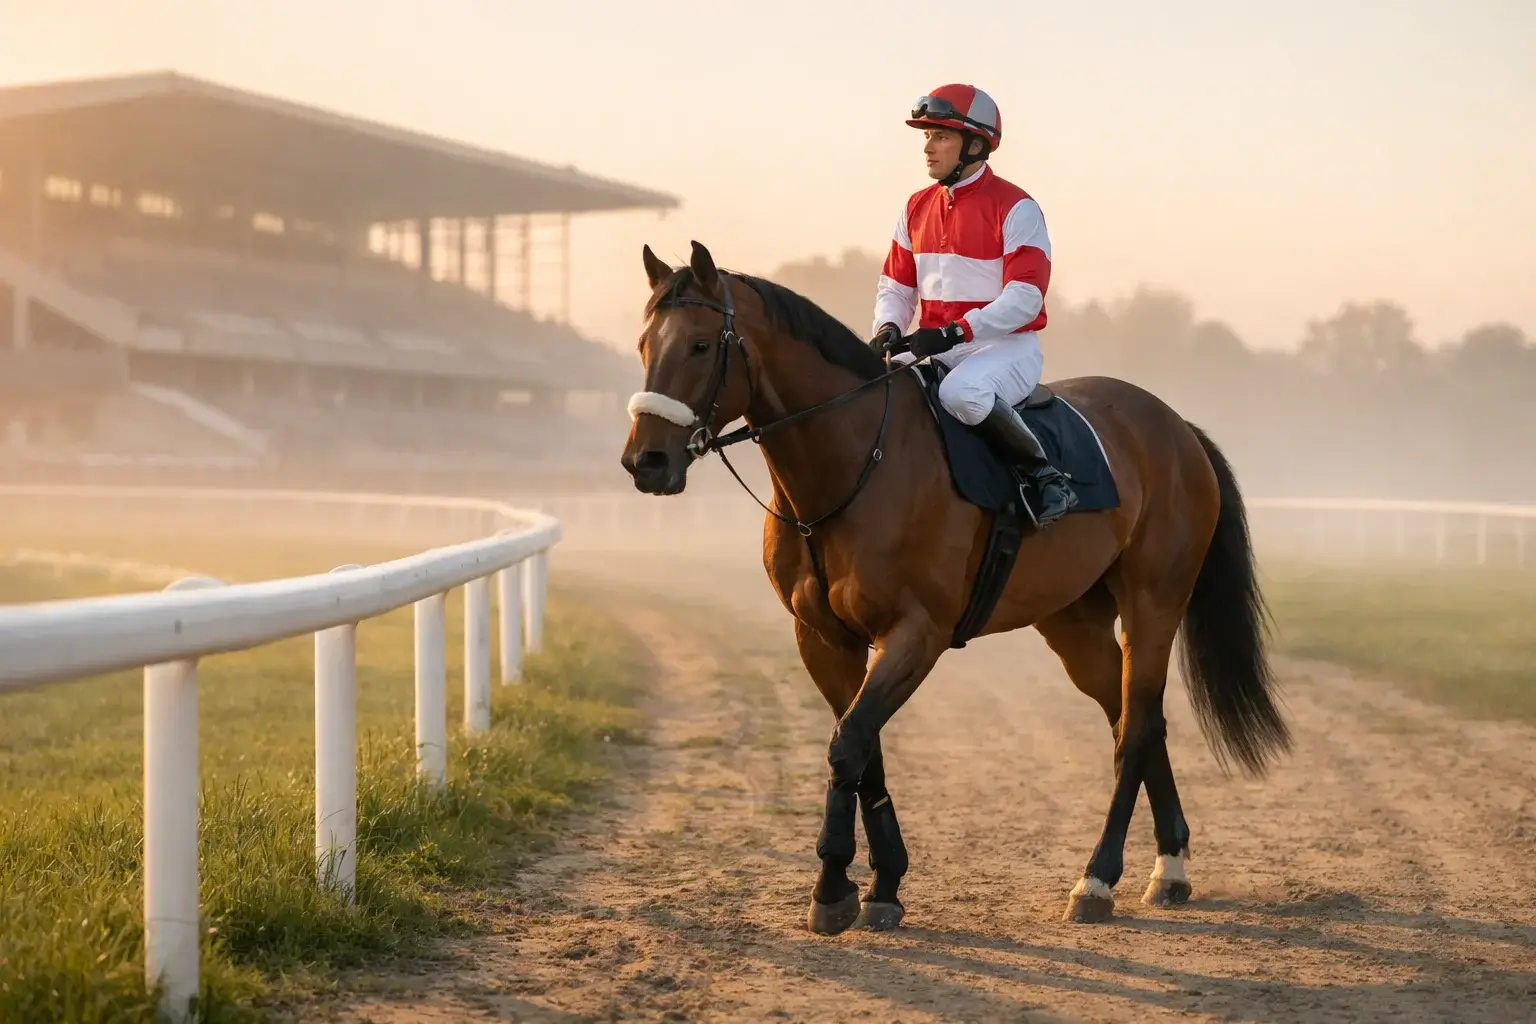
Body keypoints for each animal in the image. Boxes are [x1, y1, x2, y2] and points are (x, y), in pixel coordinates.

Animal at [619, 240, 1291, 933]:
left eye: (700, 345)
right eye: (644, 343)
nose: (646, 462)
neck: (855, 466)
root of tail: (1176, 425)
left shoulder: (917, 632)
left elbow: (849, 745)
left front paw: (833, 888)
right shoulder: (823, 639)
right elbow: (862, 747)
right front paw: (882, 884)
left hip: (1154, 605)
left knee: (1133, 732)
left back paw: (1098, 879)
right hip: (1075, 626)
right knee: (1138, 720)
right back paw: (1171, 866)